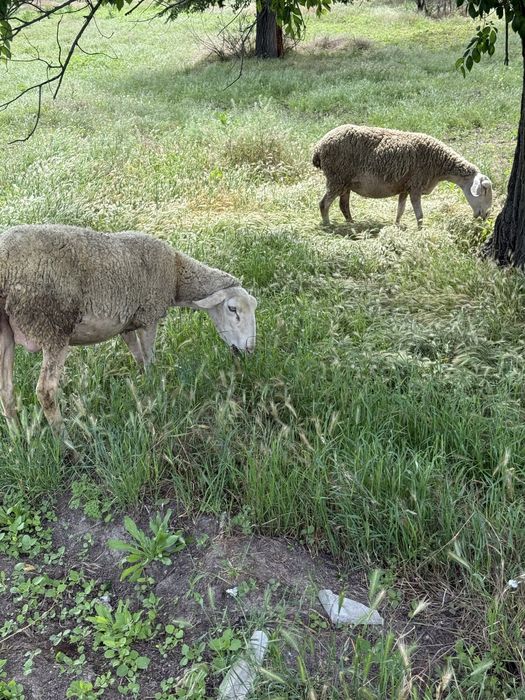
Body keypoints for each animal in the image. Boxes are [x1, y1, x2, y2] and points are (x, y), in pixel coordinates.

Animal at [0, 224, 257, 448]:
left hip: (6, 334)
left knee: (6, 390)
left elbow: (139, 358)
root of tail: (5, 265)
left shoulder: (127, 324)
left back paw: (16, 438)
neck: (176, 274)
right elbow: (150, 360)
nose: (249, 349)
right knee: (46, 391)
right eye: (232, 309)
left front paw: (143, 387)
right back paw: (66, 444)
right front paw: (155, 392)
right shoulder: (148, 315)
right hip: (54, 327)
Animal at [312, 124, 493, 228]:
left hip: (344, 182)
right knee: (324, 203)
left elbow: (401, 209)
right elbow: (419, 215)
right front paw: (421, 230)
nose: (486, 215)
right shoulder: (415, 187)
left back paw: (351, 224)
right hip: (336, 178)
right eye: (484, 190)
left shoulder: (405, 187)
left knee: (343, 205)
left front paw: (397, 225)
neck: (439, 165)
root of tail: (318, 147)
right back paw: (328, 225)